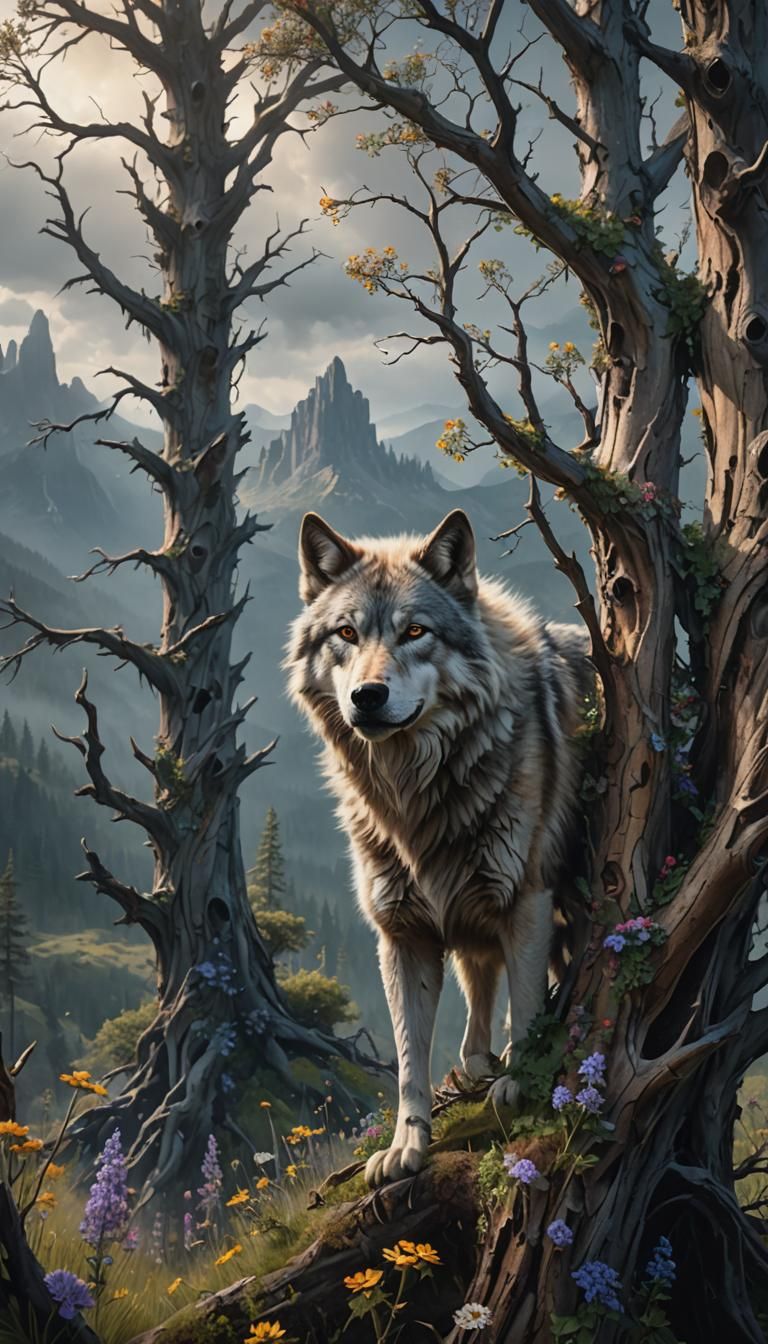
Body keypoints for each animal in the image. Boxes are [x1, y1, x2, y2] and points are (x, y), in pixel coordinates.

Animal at [286, 508, 592, 1186]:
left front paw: (518, 1086)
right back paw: (476, 1062)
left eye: (415, 631)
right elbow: (408, 1060)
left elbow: (525, 1005)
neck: (415, 795)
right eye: (346, 633)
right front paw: (407, 1146)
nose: (367, 697)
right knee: (478, 988)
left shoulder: (526, 900)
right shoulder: (402, 933)